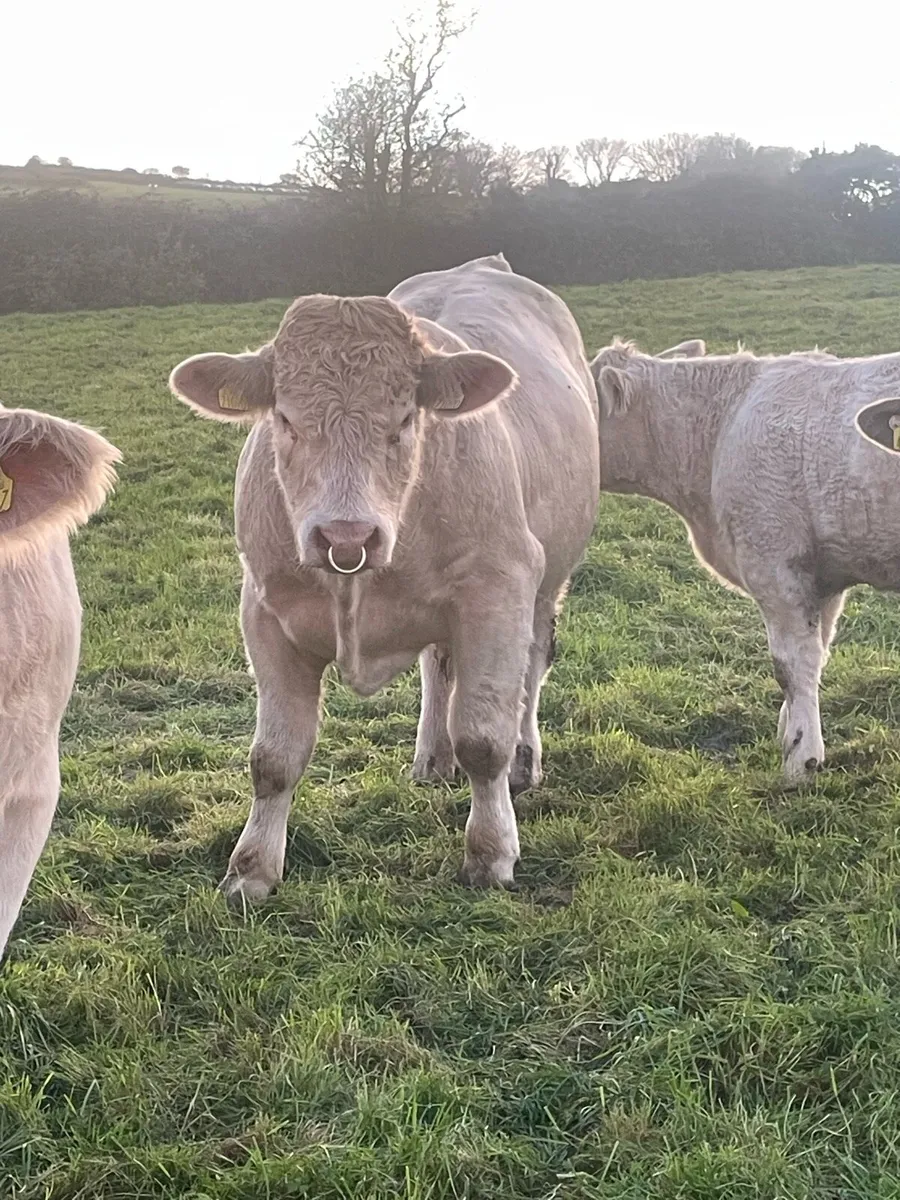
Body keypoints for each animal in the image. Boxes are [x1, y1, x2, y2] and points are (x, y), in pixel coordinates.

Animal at [169, 255, 600, 896]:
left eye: (403, 420)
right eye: (286, 419)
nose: (346, 536)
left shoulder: (498, 592)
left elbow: (484, 738)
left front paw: (491, 853)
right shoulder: (265, 612)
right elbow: (273, 758)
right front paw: (251, 870)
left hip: (548, 579)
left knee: (532, 665)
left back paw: (524, 761)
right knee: (438, 666)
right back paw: (433, 758)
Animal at [589, 338, 900, 782]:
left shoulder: (774, 565)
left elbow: (792, 663)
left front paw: (802, 756)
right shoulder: (822, 575)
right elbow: (817, 654)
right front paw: (789, 728)